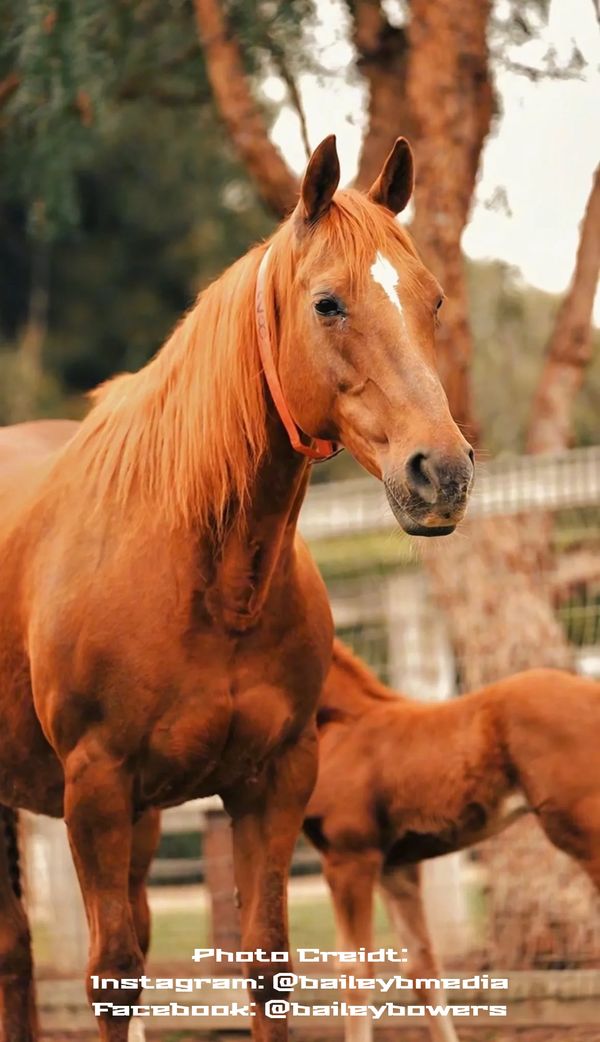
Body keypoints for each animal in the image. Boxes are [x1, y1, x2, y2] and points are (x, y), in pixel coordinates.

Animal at [0, 134, 474, 1042]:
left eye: (431, 299)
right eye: (328, 303)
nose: (442, 472)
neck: (206, 579)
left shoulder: (271, 780)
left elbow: (266, 965)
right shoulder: (96, 788)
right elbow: (112, 973)